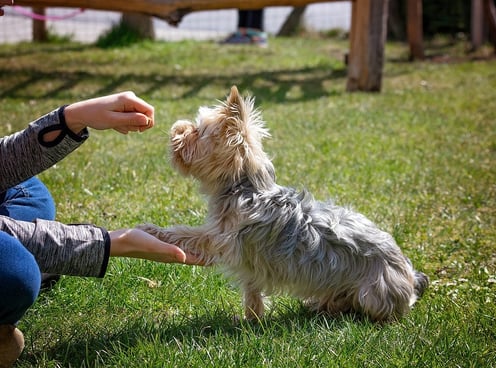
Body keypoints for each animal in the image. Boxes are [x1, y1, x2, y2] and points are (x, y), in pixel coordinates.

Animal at [138, 86, 428, 322]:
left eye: (197, 131)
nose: (176, 128)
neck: (243, 186)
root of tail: (410, 275)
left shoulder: (221, 238)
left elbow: (187, 233)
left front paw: (152, 230)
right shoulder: (248, 261)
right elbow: (252, 291)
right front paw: (251, 319)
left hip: (374, 292)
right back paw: (321, 305)